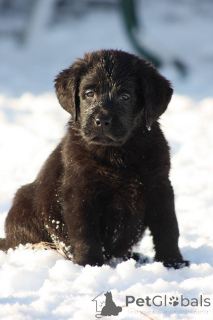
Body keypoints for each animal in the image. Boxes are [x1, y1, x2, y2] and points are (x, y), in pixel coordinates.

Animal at [0, 50, 189, 268]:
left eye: (125, 96)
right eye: (89, 93)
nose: (102, 120)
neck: (117, 153)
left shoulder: (159, 186)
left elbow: (168, 227)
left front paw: (172, 262)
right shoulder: (80, 191)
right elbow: (85, 232)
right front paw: (90, 264)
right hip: (22, 205)